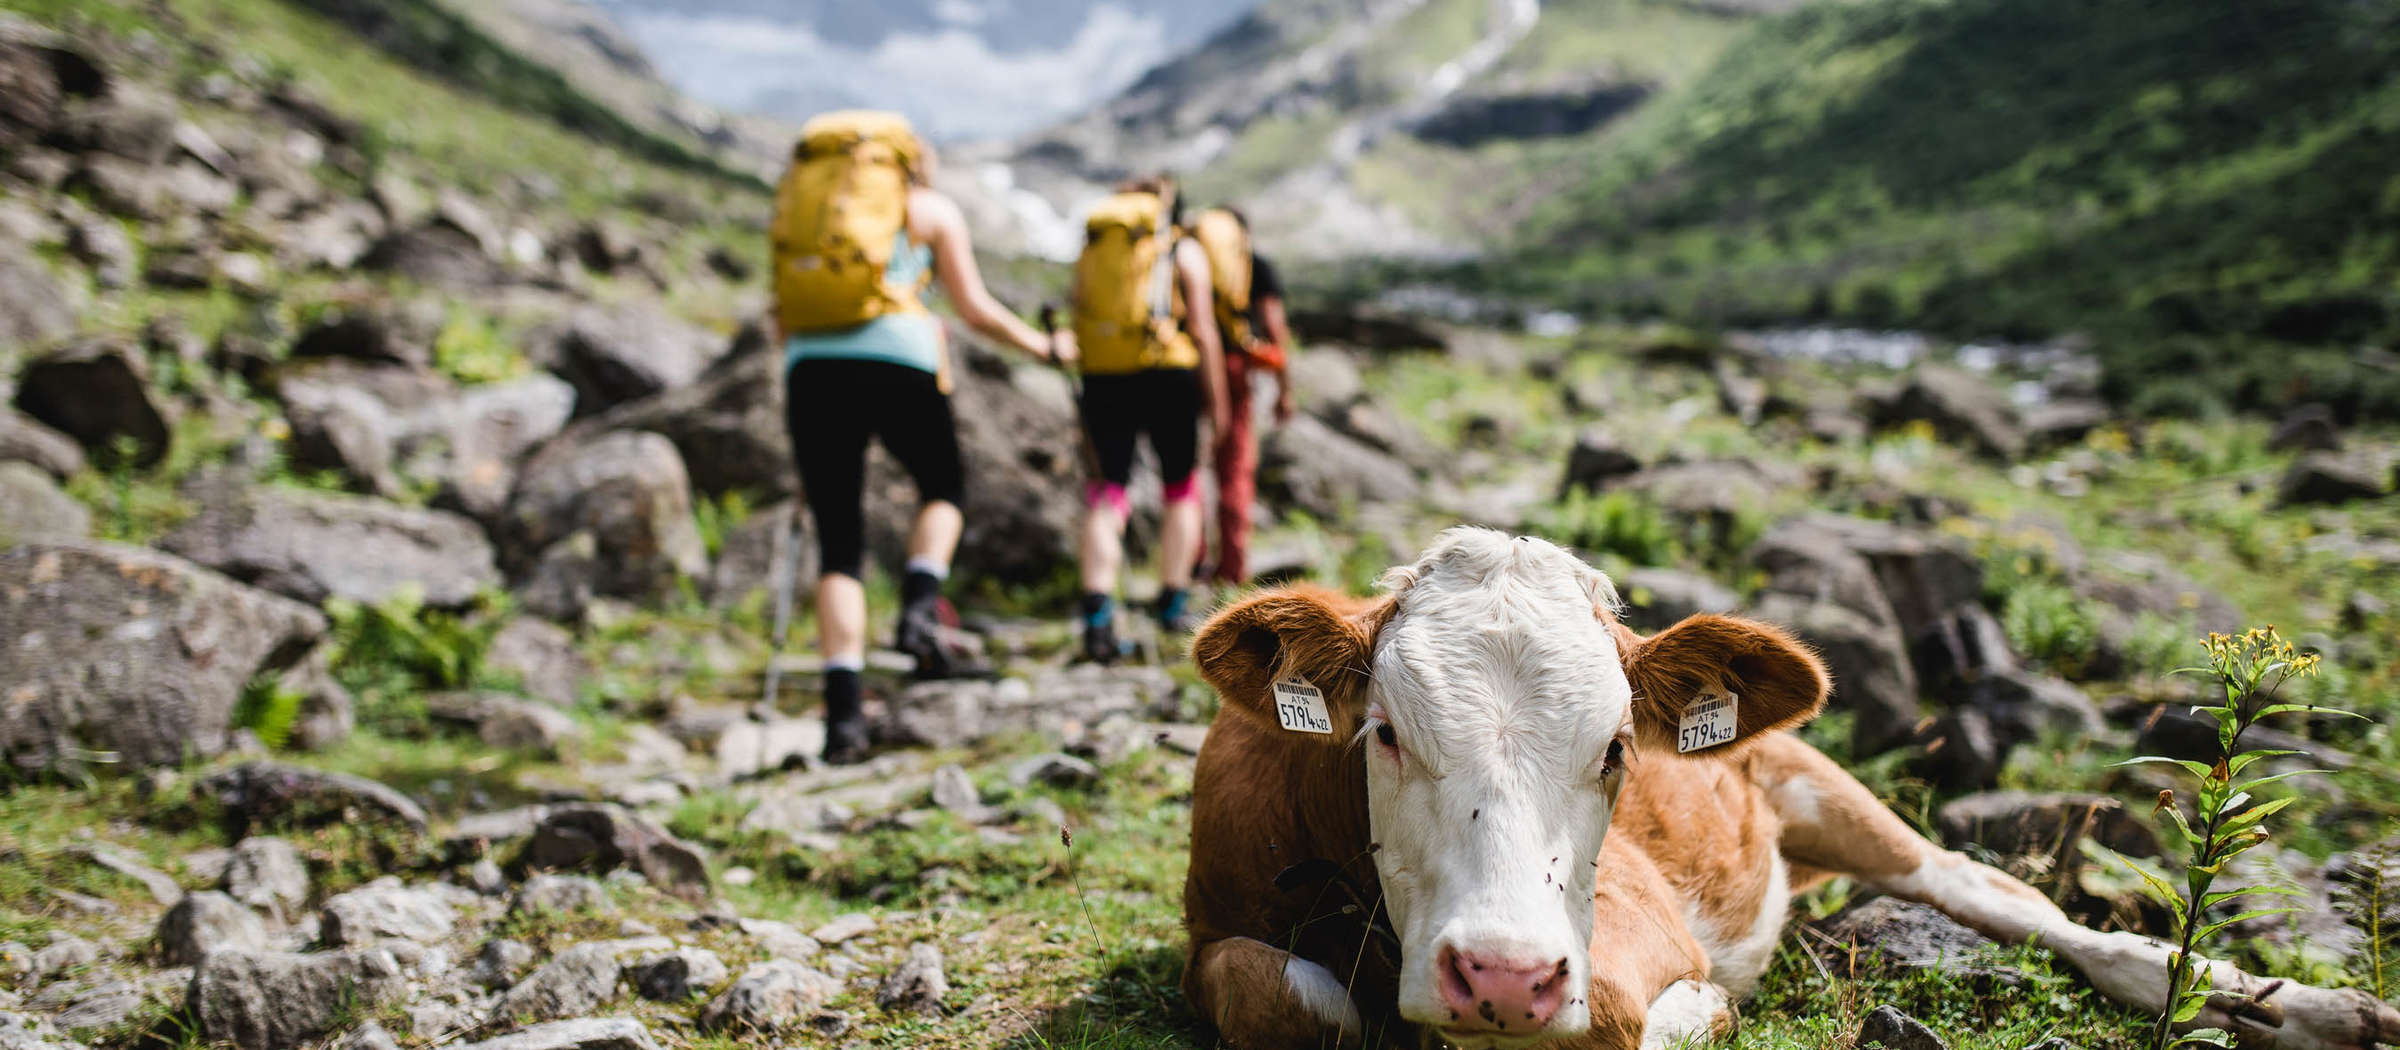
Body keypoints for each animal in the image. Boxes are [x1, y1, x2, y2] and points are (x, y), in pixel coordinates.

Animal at [1185, 529, 2400, 1050]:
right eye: (1384, 733)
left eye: (1617, 750)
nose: (1505, 975)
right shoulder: (1219, 931)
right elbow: (1262, 984)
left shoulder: (1626, 944)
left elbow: (1627, 1015)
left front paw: (1702, 1011)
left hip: (1826, 789)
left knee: (2007, 902)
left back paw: (2299, 1007)